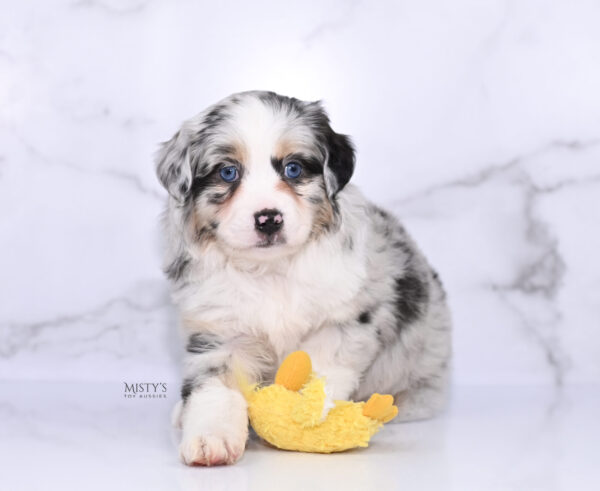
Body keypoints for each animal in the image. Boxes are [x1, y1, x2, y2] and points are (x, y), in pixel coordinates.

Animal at [155, 91, 450, 466]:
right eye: (228, 172)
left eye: (293, 168)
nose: (268, 219)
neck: (271, 271)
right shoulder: (219, 330)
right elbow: (215, 390)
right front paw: (212, 439)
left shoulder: (343, 319)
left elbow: (320, 373)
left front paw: (308, 421)